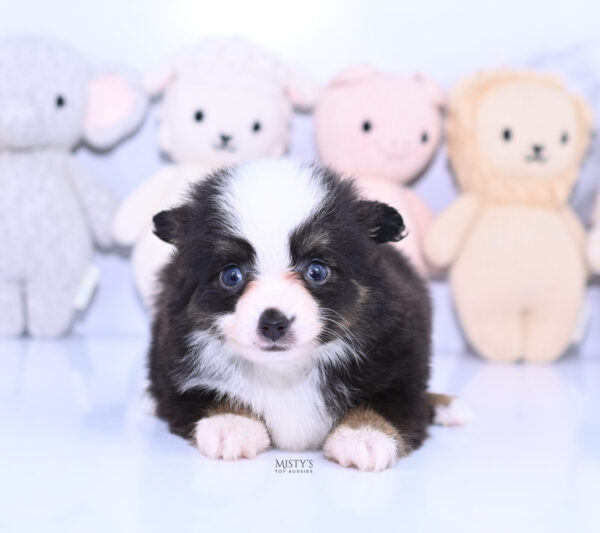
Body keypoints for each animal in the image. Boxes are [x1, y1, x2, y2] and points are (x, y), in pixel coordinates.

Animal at [148, 158, 462, 470]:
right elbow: (203, 393)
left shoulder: (400, 360)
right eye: (231, 275)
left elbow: (387, 401)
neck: (285, 373)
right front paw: (231, 423)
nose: (273, 323)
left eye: (317, 271)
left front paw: (363, 434)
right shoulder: (177, 366)